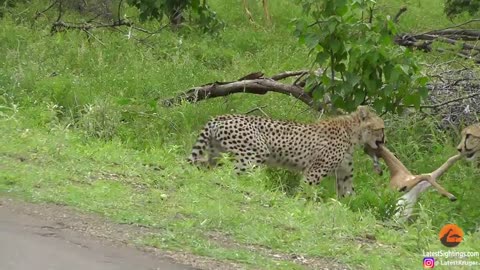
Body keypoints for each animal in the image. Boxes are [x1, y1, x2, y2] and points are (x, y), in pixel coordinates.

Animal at [188, 106, 386, 198]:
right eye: (381, 128)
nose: (385, 141)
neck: (353, 132)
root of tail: (218, 117)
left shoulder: (344, 173)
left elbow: (348, 194)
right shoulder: (315, 170)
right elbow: (306, 189)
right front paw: (302, 203)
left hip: (217, 154)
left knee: (205, 167)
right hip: (254, 154)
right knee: (231, 175)